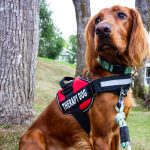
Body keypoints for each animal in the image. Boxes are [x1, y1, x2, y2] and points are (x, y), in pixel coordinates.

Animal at [19, 5, 149, 149]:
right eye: (98, 19)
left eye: (122, 15)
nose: (101, 30)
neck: (114, 74)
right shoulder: (101, 137)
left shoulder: (116, 131)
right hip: (35, 135)